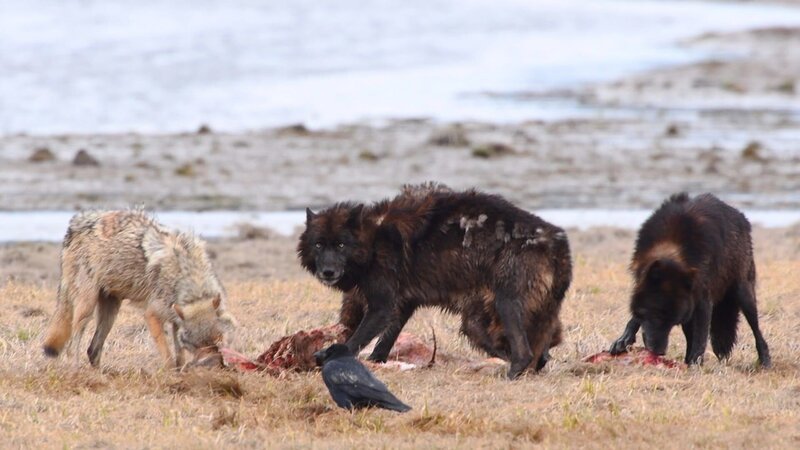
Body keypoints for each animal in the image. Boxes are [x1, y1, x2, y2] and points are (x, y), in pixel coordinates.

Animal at [42, 210, 236, 368]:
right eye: (196, 346)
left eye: (218, 341)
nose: (215, 365)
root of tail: (75, 225)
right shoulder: (152, 315)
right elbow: (167, 357)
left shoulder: (175, 318)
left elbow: (179, 355)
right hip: (87, 308)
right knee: (72, 346)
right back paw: (76, 372)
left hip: (111, 311)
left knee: (92, 349)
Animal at [299, 186, 572, 379]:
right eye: (319, 245)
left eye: (340, 245)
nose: (328, 271)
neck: (374, 241)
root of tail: (556, 239)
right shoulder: (404, 304)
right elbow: (384, 343)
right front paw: (377, 362)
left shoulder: (382, 306)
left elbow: (354, 341)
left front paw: (334, 355)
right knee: (541, 352)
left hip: (502, 308)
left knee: (524, 354)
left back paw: (513, 374)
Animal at [608, 193, 771, 367]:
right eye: (657, 316)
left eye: (672, 322)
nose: (659, 352)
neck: (672, 246)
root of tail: (741, 216)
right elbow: (635, 317)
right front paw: (623, 339)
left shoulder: (703, 301)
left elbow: (701, 337)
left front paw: (695, 363)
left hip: (743, 295)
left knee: (757, 330)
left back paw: (765, 361)